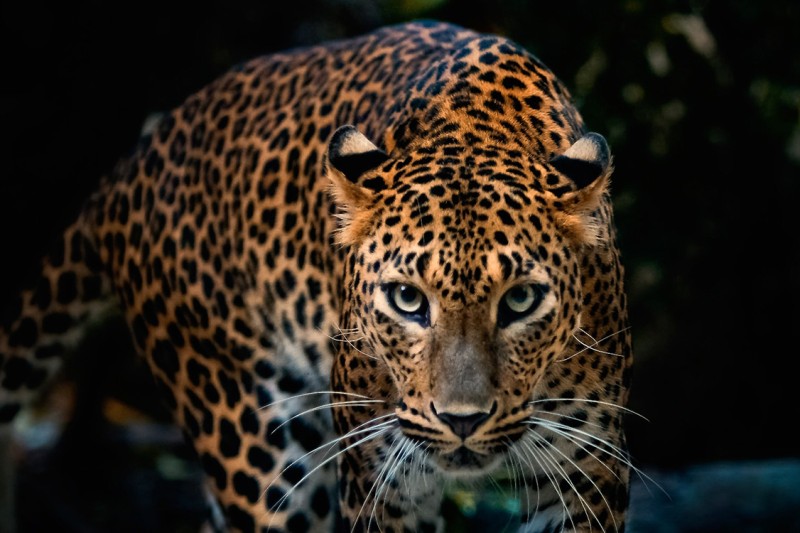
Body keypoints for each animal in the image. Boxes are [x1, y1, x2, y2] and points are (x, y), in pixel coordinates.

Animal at [0, 19, 634, 533]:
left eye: (521, 300)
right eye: (407, 300)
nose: (462, 421)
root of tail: (135, 162)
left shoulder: (589, 473)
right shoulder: (380, 484)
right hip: (259, 446)